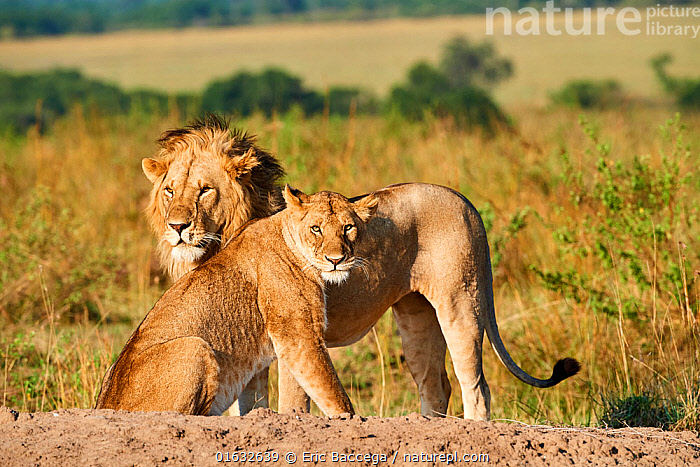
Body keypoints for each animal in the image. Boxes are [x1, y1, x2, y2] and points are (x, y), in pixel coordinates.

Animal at [96, 185, 378, 416]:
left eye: (348, 228)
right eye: (316, 228)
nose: (336, 260)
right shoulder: (300, 337)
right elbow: (333, 393)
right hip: (194, 345)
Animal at [142, 115, 580, 421]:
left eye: (205, 190)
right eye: (169, 191)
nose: (177, 227)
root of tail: (465, 201)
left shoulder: (293, 339)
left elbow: (292, 403)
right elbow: (249, 406)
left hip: (461, 304)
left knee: (476, 386)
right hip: (416, 316)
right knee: (436, 386)